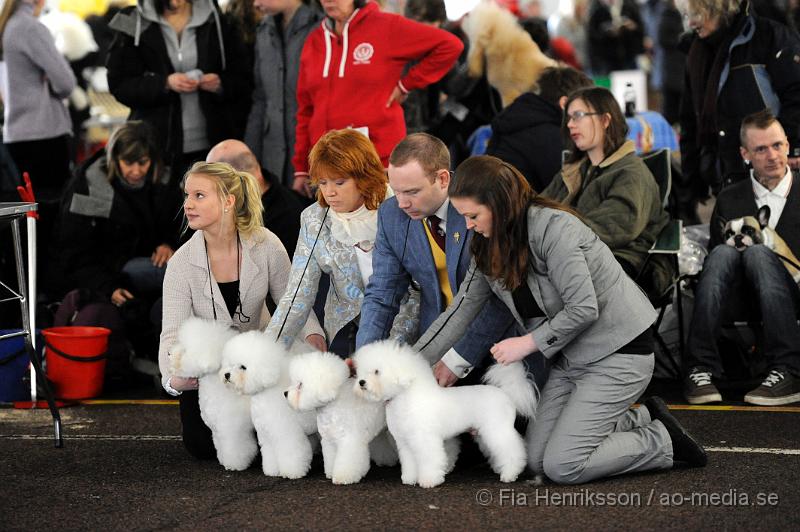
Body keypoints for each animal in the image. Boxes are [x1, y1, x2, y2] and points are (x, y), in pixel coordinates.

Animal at [169, 316, 256, 470]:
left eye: (185, 350)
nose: (169, 353)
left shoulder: (232, 430)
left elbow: (236, 448)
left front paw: (234, 465)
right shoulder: (218, 431)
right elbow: (221, 446)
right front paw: (223, 460)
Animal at [220, 332, 320, 478]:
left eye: (243, 367)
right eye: (230, 364)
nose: (227, 375)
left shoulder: (286, 433)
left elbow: (291, 453)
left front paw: (291, 473)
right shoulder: (266, 434)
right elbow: (270, 454)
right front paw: (272, 471)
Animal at [288, 352, 400, 484]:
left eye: (300, 384)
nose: (285, 393)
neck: (331, 410)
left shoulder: (349, 441)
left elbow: (347, 462)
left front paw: (343, 477)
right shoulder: (329, 441)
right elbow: (331, 458)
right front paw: (331, 473)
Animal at [354, 342, 536, 488]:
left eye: (377, 371)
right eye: (360, 372)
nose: (361, 382)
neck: (406, 400)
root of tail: (508, 395)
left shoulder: (425, 440)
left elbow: (430, 459)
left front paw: (428, 481)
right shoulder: (405, 442)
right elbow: (409, 462)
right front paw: (409, 479)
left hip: (497, 429)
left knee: (513, 450)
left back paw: (510, 474)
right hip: (484, 433)